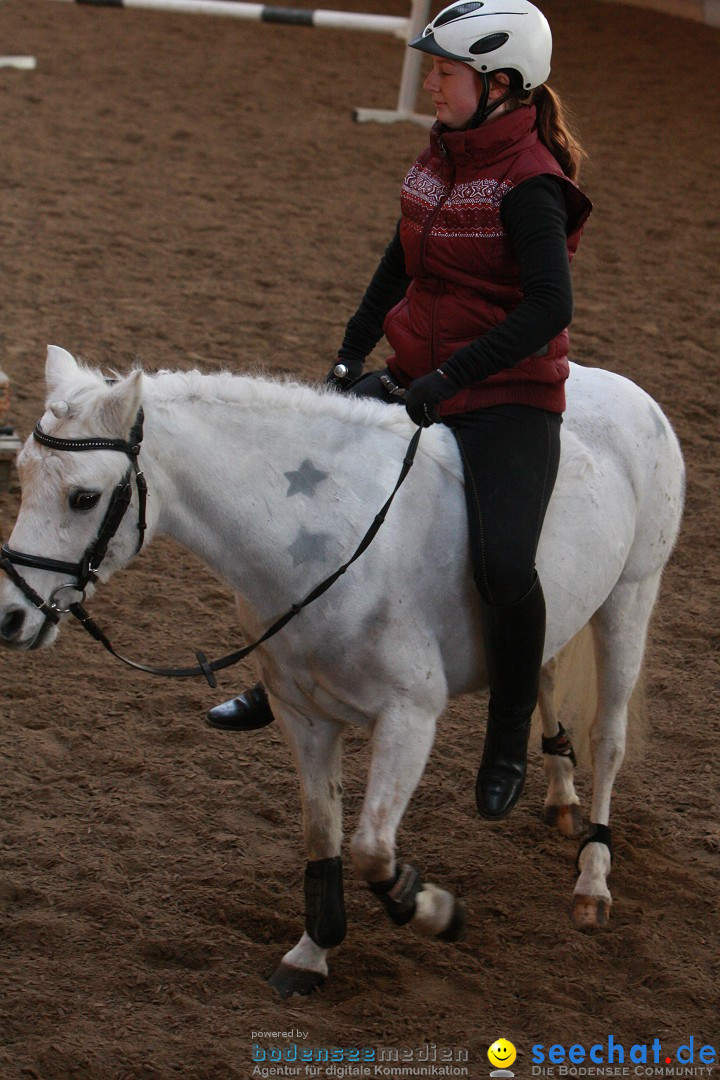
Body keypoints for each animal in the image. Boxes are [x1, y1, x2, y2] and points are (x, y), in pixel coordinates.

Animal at [0, 345, 686, 993]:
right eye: (22, 475)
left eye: (84, 498)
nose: (11, 615)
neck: (326, 537)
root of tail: (625, 388)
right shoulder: (301, 714)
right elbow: (321, 835)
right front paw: (312, 952)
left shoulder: (409, 719)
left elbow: (371, 849)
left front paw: (433, 910)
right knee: (540, 673)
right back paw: (559, 792)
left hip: (629, 597)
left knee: (609, 737)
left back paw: (591, 876)